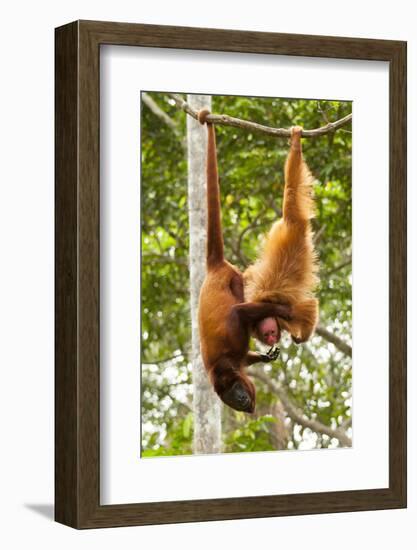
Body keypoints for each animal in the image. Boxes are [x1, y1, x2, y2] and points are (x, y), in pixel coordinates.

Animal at [197, 111, 290, 414]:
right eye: (230, 399)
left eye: (236, 391)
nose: (240, 401)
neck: (222, 369)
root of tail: (213, 268)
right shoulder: (236, 361)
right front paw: (263, 356)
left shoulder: (232, 348)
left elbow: (238, 314)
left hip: (233, 278)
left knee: (241, 296)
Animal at [244, 127, 318, 348]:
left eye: (270, 332)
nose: (271, 339)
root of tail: (290, 226)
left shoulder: (283, 309)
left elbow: (310, 308)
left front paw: (302, 337)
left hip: (293, 221)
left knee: (291, 191)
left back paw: (295, 145)